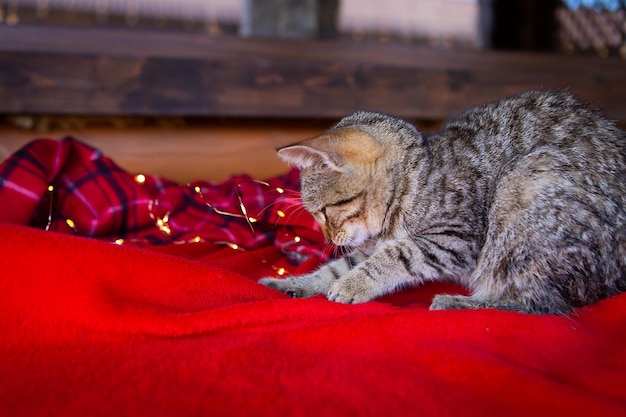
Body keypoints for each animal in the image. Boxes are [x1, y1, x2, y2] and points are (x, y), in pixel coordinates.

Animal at [258, 89, 624, 314]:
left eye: (323, 211)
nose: (329, 238)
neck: (414, 182)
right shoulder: (367, 245)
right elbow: (335, 267)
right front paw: (295, 282)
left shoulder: (456, 238)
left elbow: (399, 254)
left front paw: (354, 283)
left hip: (524, 186)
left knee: (542, 304)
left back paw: (460, 303)